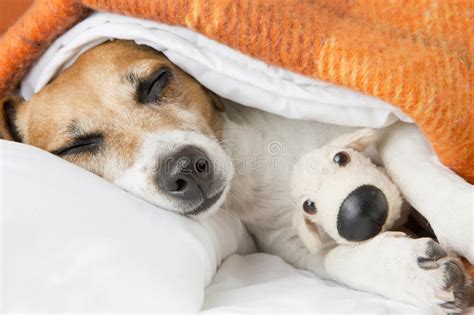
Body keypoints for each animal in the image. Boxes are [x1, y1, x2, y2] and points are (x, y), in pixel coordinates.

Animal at [1, 40, 472, 314]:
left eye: (157, 80)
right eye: (75, 147)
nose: (185, 169)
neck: (254, 162)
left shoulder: (392, 123)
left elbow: (416, 170)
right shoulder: (287, 241)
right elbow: (335, 260)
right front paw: (409, 270)